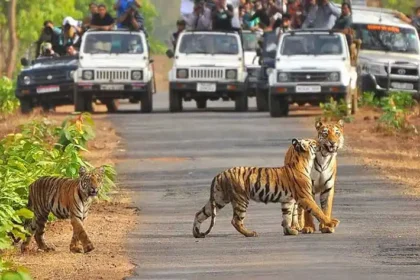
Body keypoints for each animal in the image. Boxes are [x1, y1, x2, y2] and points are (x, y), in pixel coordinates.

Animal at [192, 138, 340, 238]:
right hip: (241, 199)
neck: (303, 161)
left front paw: (289, 231)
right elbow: (318, 211)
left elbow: (287, 216)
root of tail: (220, 174)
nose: (321, 143)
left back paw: (196, 233)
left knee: (199, 213)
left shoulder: (288, 200)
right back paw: (250, 233)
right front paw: (331, 222)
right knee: (236, 221)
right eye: (313, 142)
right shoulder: (305, 197)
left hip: (219, 199)